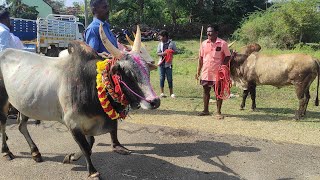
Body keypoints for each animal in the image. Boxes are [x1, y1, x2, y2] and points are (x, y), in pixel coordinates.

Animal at [0, 24, 160, 178]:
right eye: (127, 73)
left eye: (147, 70)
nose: (155, 101)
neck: (92, 85)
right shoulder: (72, 123)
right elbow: (86, 147)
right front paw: (92, 171)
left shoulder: (89, 124)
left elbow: (90, 144)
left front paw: (71, 157)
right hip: (4, 101)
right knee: (3, 125)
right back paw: (6, 151)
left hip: (24, 104)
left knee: (21, 126)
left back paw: (35, 152)